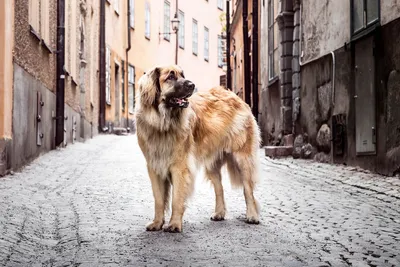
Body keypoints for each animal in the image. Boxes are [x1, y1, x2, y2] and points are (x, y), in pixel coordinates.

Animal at [135, 64, 260, 232]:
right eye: (170, 77)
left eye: (182, 75)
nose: (192, 85)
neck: (162, 122)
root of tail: (235, 96)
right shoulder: (154, 166)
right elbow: (159, 199)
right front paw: (157, 223)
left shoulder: (179, 167)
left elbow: (176, 198)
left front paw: (174, 224)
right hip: (212, 164)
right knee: (219, 188)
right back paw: (219, 213)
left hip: (243, 158)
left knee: (248, 189)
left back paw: (252, 215)